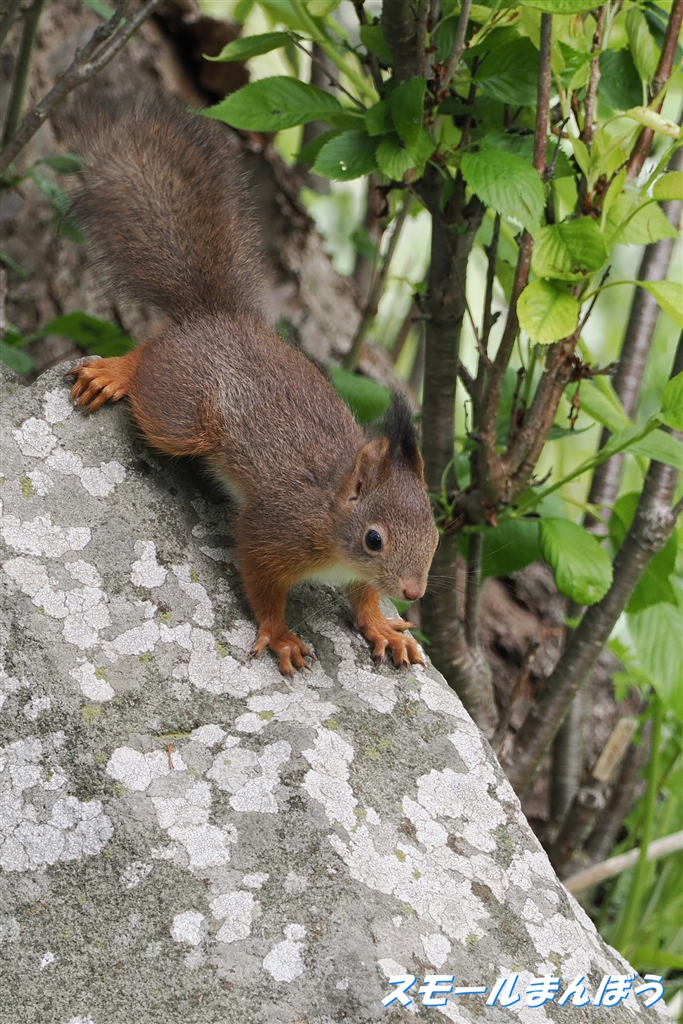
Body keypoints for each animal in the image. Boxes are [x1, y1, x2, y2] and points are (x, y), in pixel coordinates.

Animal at [66, 98, 439, 676]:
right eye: (375, 539)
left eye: (435, 530)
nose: (414, 591)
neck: (331, 514)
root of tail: (213, 317)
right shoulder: (274, 532)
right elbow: (262, 583)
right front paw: (282, 635)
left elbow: (363, 599)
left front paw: (382, 626)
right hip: (181, 415)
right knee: (154, 357)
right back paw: (116, 371)